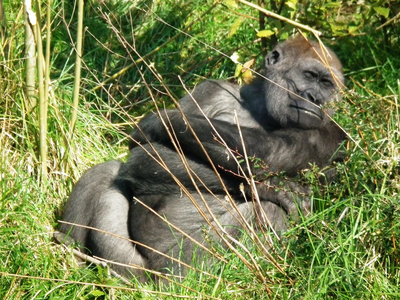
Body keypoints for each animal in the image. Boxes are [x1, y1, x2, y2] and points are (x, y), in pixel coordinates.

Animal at [57, 36, 346, 282]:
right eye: (310, 76)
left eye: (328, 86)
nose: (316, 99)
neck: (262, 109)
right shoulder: (212, 89)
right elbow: (148, 156)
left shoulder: (332, 133)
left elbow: (267, 155)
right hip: (129, 267)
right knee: (108, 172)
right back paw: (71, 253)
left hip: (181, 272)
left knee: (267, 211)